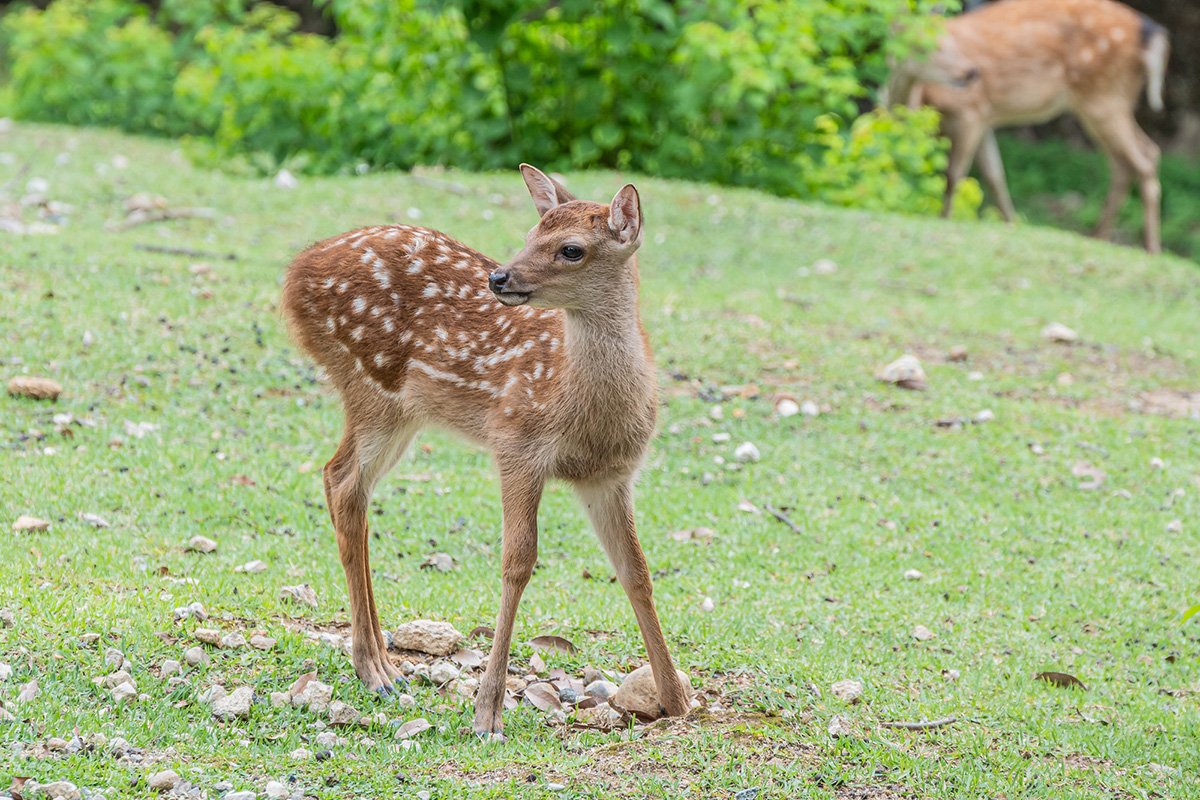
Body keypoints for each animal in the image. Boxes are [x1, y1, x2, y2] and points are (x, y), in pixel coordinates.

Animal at [281, 164, 691, 739]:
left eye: (570, 249)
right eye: (530, 234)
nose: (499, 278)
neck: (582, 408)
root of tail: (295, 272)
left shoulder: (609, 475)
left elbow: (636, 570)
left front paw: (676, 699)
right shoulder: (516, 441)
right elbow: (517, 561)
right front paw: (487, 712)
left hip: (398, 410)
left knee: (345, 484)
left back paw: (383, 663)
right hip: (372, 386)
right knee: (341, 481)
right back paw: (374, 669)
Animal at [886, 0, 1169, 252]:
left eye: (950, 41)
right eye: (919, 45)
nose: (970, 72)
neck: (922, 100)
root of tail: (1151, 32)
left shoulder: (970, 112)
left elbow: (954, 175)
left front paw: (944, 219)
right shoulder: (985, 118)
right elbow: (995, 175)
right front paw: (1011, 223)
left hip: (1104, 96)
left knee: (1143, 157)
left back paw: (1151, 246)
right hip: (1105, 101)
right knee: (1129, 160)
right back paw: (1100, 235)